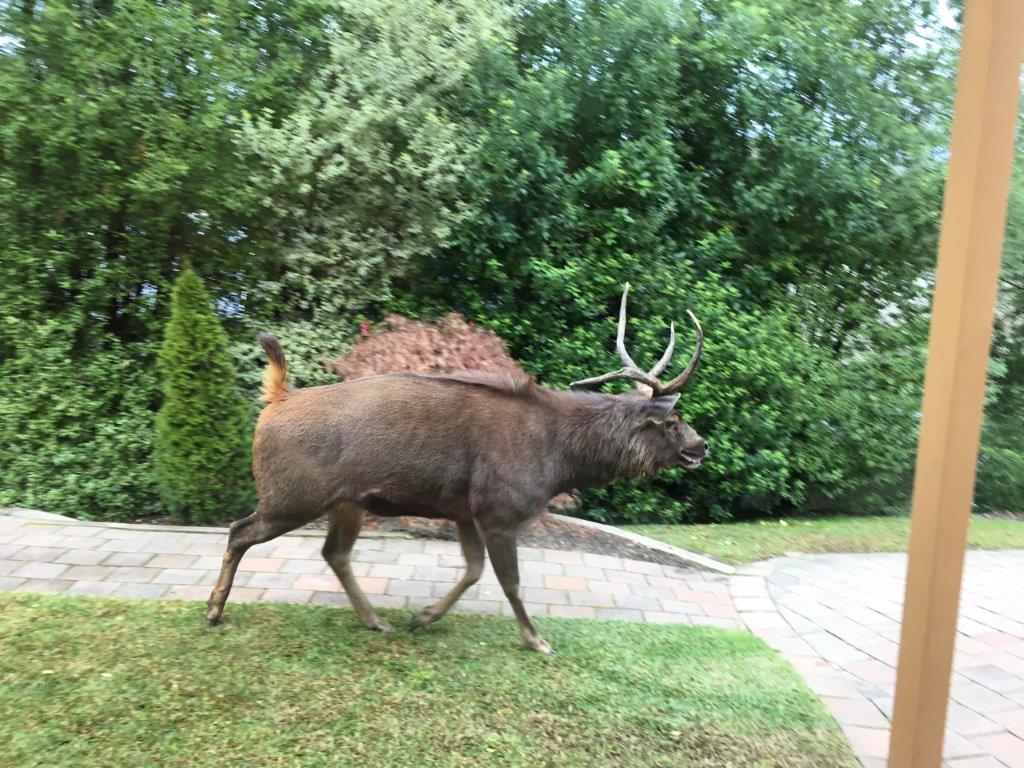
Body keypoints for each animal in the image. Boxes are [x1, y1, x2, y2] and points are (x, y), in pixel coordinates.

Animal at [205, 285, 707, 653]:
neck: (558, 460)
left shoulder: (465, 510)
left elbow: (473, 570)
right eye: (672, 422)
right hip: (292, 493)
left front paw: (422, 617)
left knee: (334, 553)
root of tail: (276, 399)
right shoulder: (498, 508)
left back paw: (375, 620)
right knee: (239, 530)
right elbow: (510, 582)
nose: (701, 445)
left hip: (344, 501)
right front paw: (536, 640)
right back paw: (213, 610)